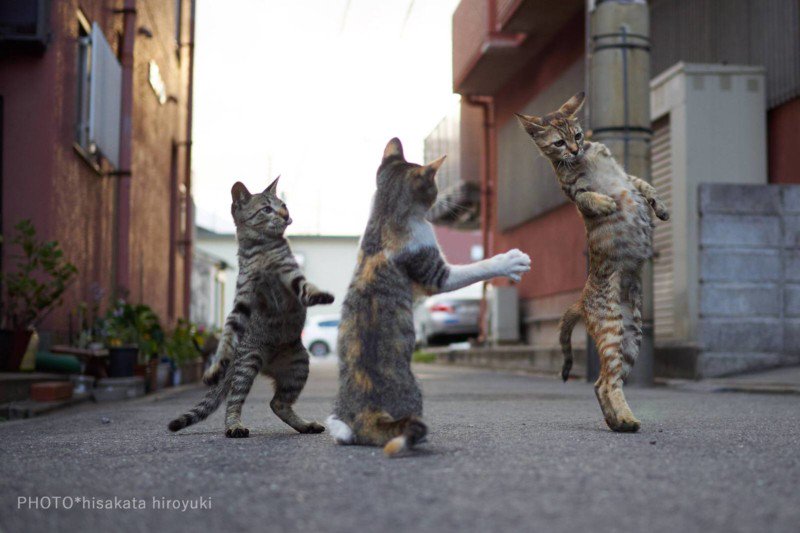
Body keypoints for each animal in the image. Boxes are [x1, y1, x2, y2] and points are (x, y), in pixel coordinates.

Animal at [167, 179, 332, 436]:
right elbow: (227, 334)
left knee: (278, 403)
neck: (262, 249)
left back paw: (306, 425)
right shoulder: (243, 299)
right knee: (235, 400)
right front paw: (215, 366)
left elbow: (305, 288)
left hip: (299, 366)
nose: (285, 215)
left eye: (284, 205)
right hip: (247, 365)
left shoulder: (291, 276)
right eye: (267, 209)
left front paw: (320, 295)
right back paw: (234, 426)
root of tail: (267, 364)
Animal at [324, 139, 532, 456]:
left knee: (343, 431)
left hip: (339, 412)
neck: (383, 217)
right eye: (433, 186)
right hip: (415, 394)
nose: (440, 200)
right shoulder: (433, 271)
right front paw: (509, 261)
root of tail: (366, 414)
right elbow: (475, 268)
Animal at [520, 91, 668, 432]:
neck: (583, 159)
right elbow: (588, 197)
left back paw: (618, 420)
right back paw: (625, 419)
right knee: (605, 382)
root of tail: (581, 300)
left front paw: (660, 207)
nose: (575, 149)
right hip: (613, 330)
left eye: (577, 135)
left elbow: (643, 184)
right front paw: (607, 203)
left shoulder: (625, 174)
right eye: (558, 143)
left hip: (633, 337)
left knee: (605, 383)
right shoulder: (572, 192)